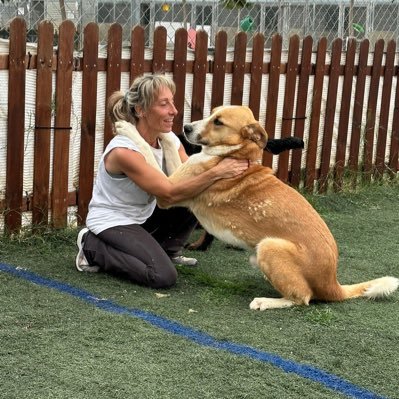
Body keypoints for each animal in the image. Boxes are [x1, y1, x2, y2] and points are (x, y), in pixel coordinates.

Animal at [114, 107, 398, 312]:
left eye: (219, 122)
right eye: (211, 114)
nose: (186, 127)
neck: (236, 153)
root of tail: (333, 284)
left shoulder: (169, 189)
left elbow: (145, 148)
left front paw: (128, 127)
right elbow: (171, 145)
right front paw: (166, 133)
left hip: (269, 247)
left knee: (303, 297)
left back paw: (265, 301)